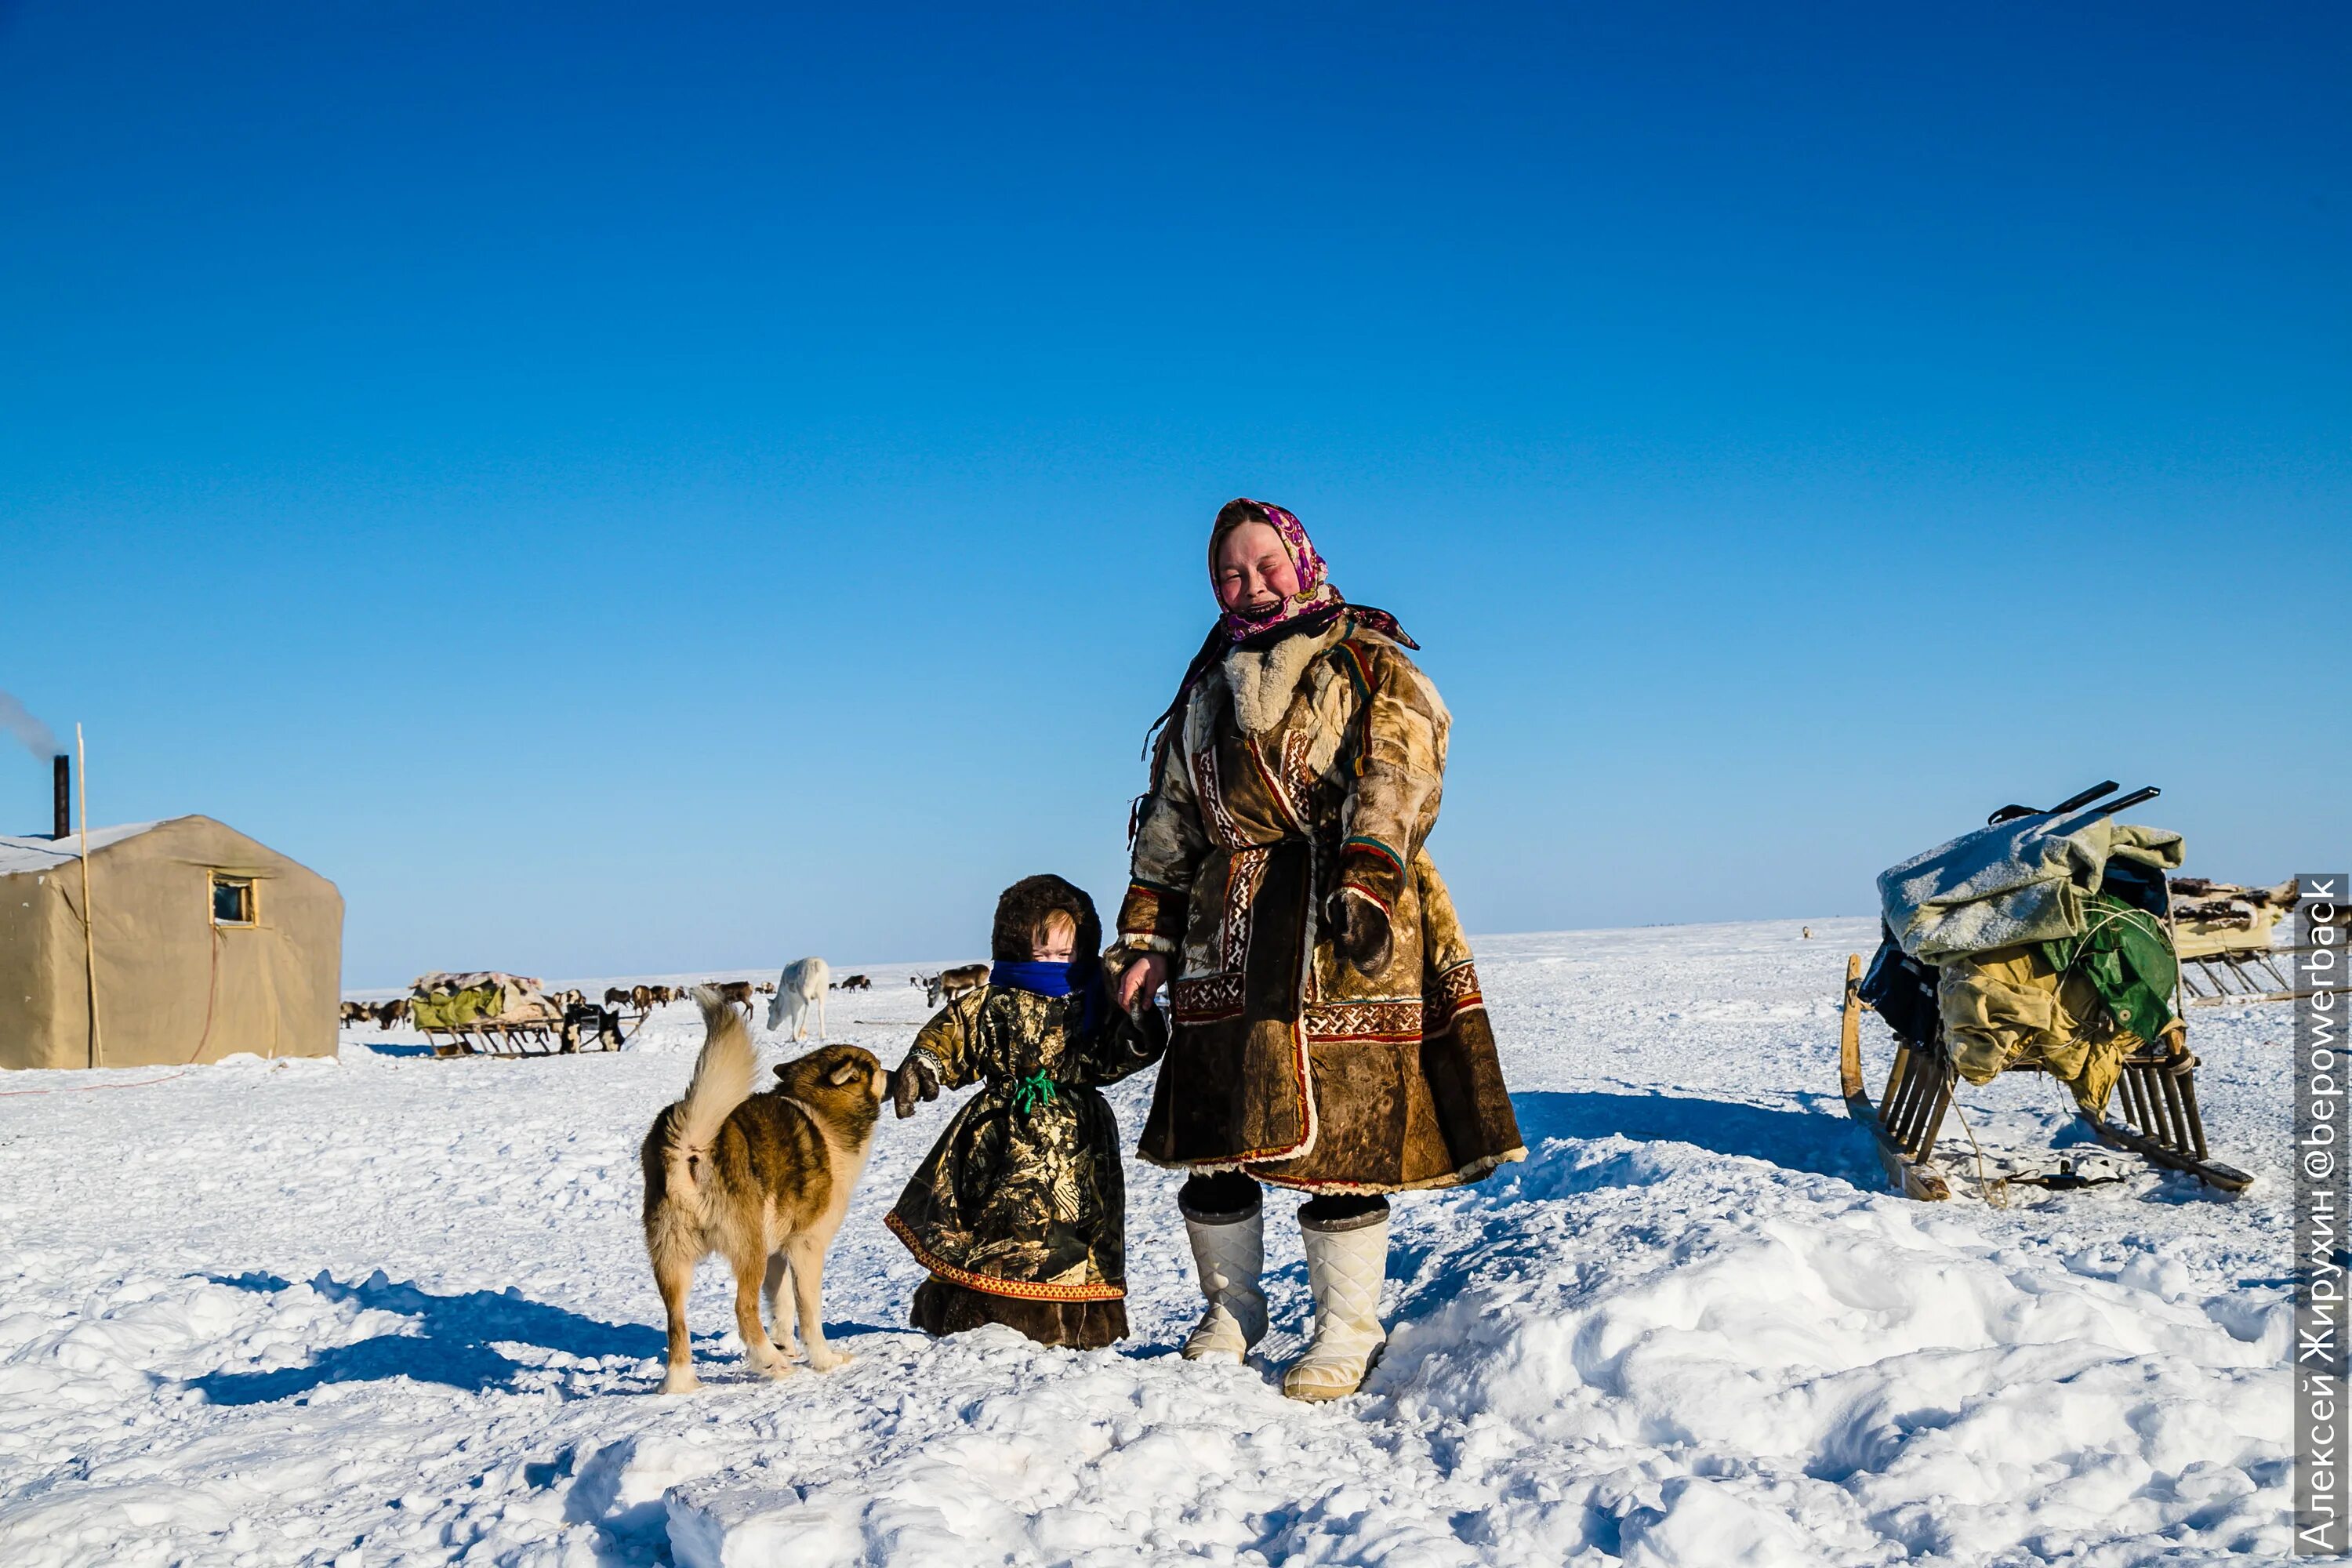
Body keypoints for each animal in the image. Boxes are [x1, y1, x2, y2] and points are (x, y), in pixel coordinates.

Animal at [640, 987, 884, 1392]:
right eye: (878, 1068)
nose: (895, 1074)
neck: (819, 1108)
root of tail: (689, 1146)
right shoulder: (805, 1247)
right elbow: (809, 1312)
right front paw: (824, 1360)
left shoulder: (777, 1254)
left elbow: (782, 1305)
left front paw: (787, 1345)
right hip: (748, 1248)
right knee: (743, 1309)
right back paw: (771, 1362)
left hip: (672, 1259)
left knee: (677, 1324)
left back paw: (681, 1384)